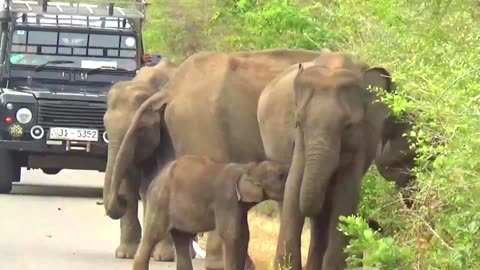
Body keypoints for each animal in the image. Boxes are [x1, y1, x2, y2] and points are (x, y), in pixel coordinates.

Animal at [102, 58, 178, 260]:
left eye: (140, 129)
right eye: (106, 128)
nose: (119, 199)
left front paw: (164, 257)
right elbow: (129, 179)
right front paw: (125, 254)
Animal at [132, 154, 288, 270]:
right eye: (281, 175)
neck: (248, 167)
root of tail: (156, 178)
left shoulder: (238, 206)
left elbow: (244, 235)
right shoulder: (226, 199)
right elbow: (232, 235)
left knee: (181, 240)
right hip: (160, 203)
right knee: (153, 237)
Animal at [258, 50, 398, 270]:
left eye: (348, 126)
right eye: (299, 122)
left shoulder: (361, 141)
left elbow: (346, 195)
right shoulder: (300, 143)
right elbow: (293, 187)